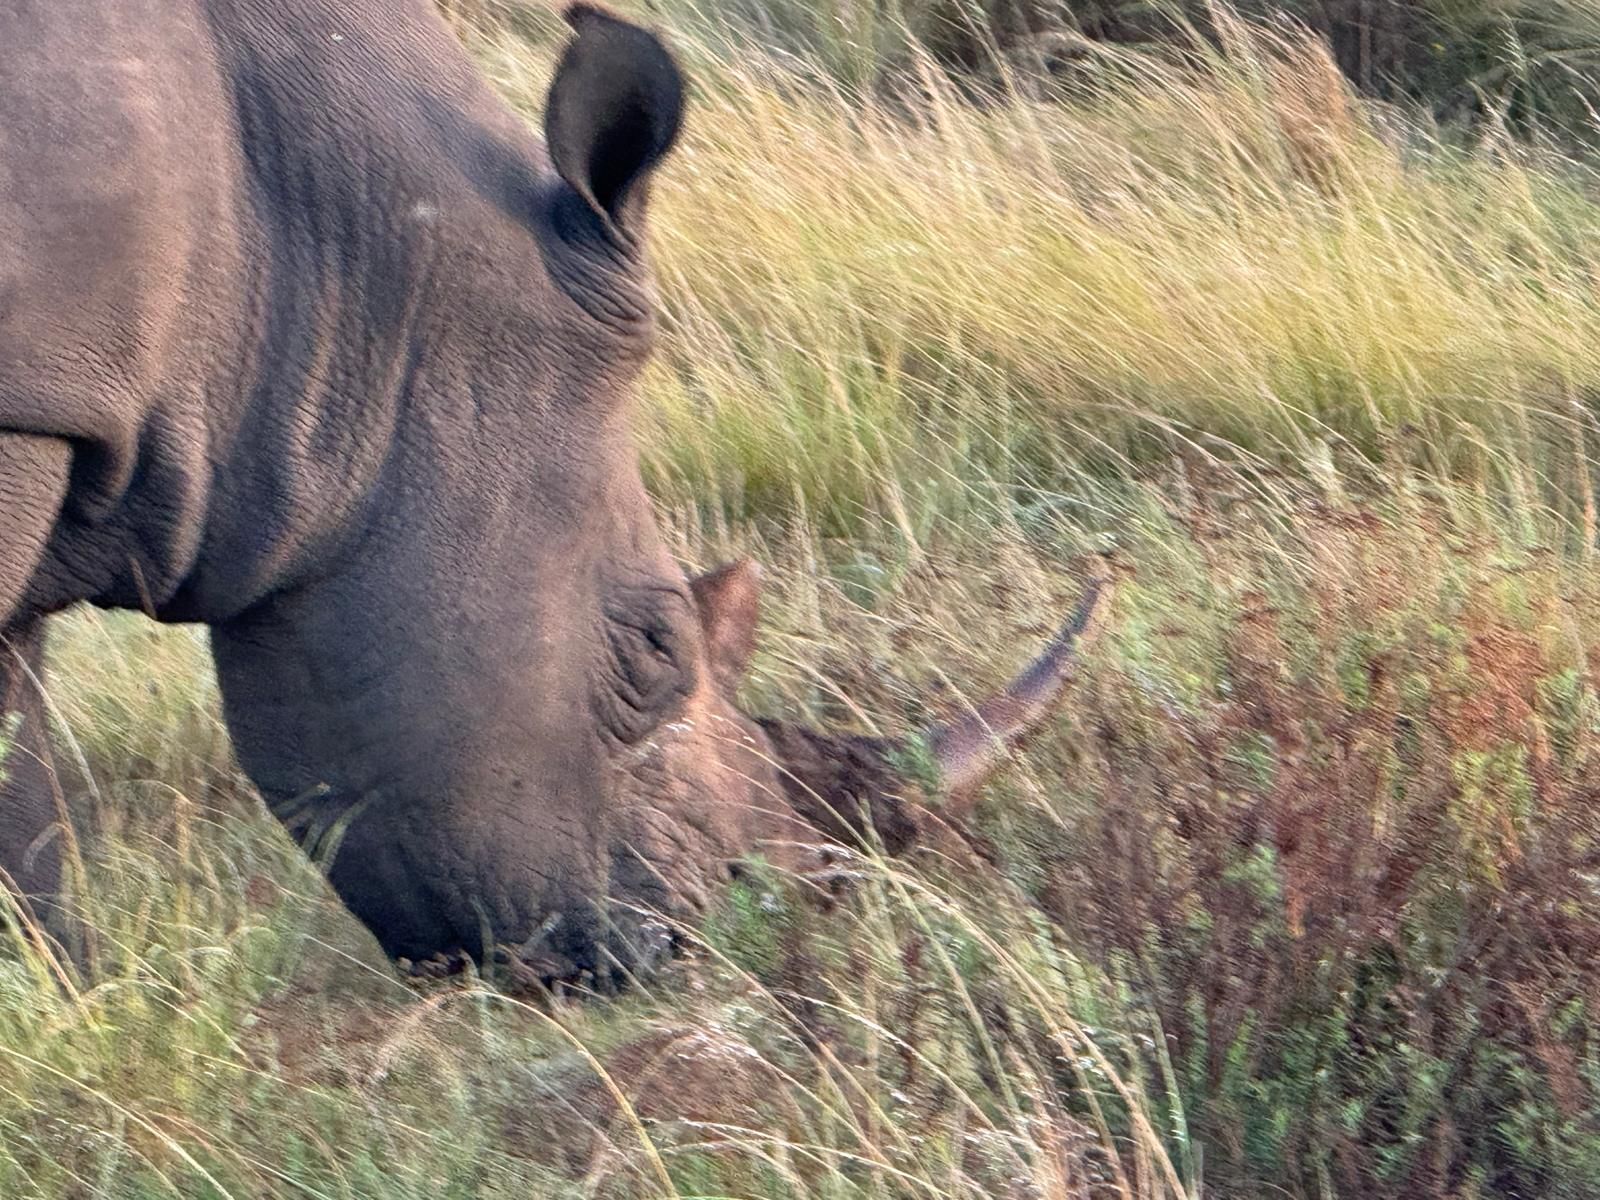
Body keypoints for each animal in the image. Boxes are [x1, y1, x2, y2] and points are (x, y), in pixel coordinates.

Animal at [0, 0, 1105, 984]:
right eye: (656, 648)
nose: (740, 934)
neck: (321, 262)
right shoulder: (32, 409)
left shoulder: (54, 409)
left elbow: (20, 785)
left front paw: (63, 999)